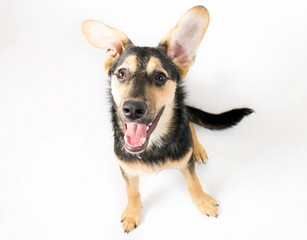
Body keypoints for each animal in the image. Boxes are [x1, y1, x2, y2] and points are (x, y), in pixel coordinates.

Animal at [81, 5, 253, 232]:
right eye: (122, 74)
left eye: (160, 77)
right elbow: (132, 191)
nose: (132, 109)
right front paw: (132, 213)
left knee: (189, 123)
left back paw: (197, 149)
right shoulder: (126, 168)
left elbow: (194, 182)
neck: (152, 146)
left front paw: (203, 201)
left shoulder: (185, 163)